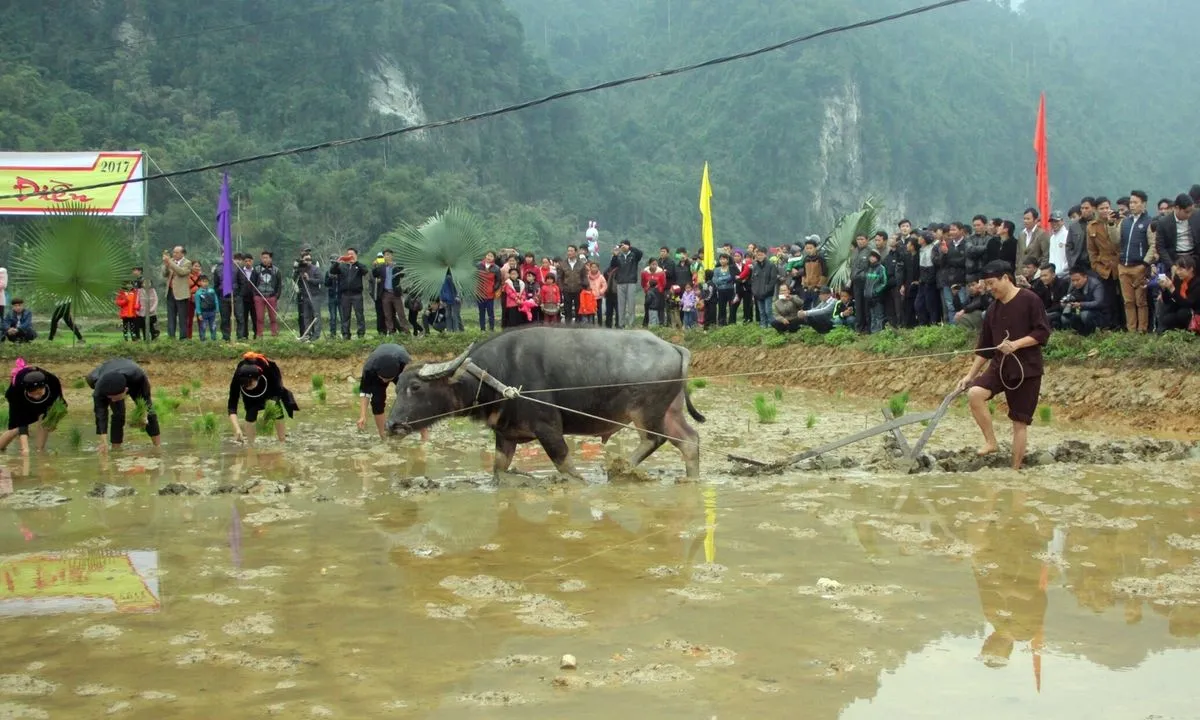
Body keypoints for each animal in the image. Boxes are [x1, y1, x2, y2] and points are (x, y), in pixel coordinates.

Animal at [384, 326, 700, 477]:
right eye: (396, 387)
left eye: (415, 387)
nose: (392, 425)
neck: (498, 374)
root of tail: (675, 347)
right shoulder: (505, 435)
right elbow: (498, 471)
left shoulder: (549, 429)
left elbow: (567, 468)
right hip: (670, 412)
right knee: (689, 441)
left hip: (646, 412)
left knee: (654, 439)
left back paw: (618, 468)